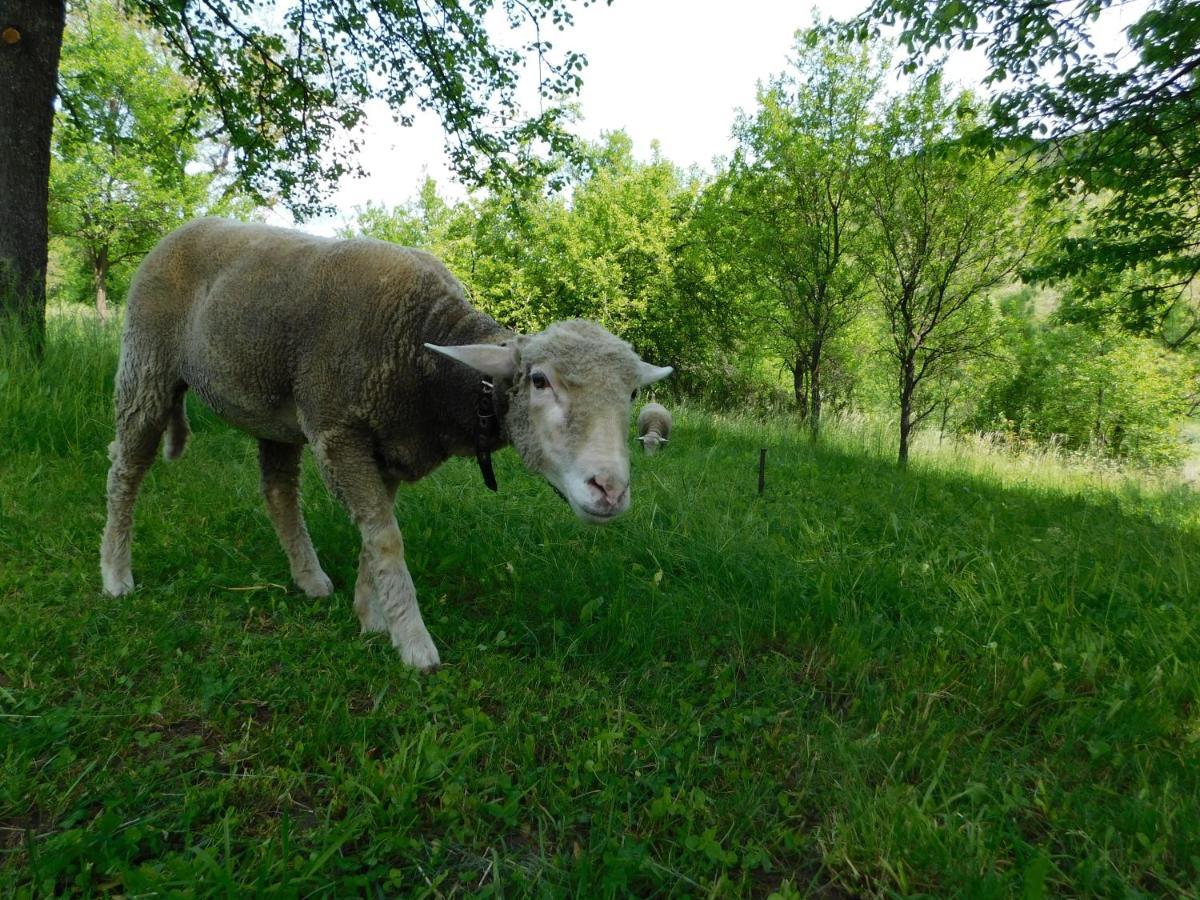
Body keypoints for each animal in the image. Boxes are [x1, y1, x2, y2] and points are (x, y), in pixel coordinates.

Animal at [100, 218, 676, 672]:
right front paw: (413, 642)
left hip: (274, 410)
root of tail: (184, 227)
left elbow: (373, 536)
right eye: (538, 381)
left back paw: (309, 578)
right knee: (125, 470)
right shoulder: (339, 431)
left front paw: (370, 615)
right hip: (147, 363)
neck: (425, 360)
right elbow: (386, 539)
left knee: (279, 492)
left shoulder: (393, 448)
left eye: (631, 393)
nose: (609, 489)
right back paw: (116, 574)